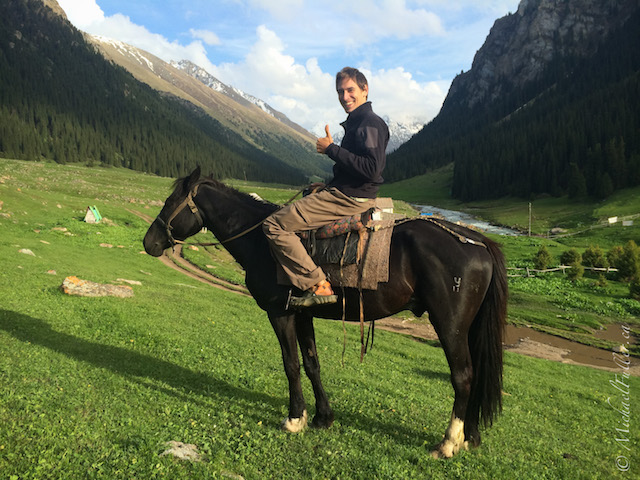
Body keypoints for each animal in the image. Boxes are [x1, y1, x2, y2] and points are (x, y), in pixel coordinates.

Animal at [143, 167, 508, 459]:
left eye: (170, 202)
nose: (149, 243)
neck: (262, 241)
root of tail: (478, 240)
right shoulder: (302, 313)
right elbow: (311, 363)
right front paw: (322, 417)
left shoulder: (279, 313)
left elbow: (290, 364)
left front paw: (294, 418)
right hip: (467, 327)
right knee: (476, 374)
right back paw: (469, 436)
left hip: (449, 324)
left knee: (463, 376)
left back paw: (447, 443)